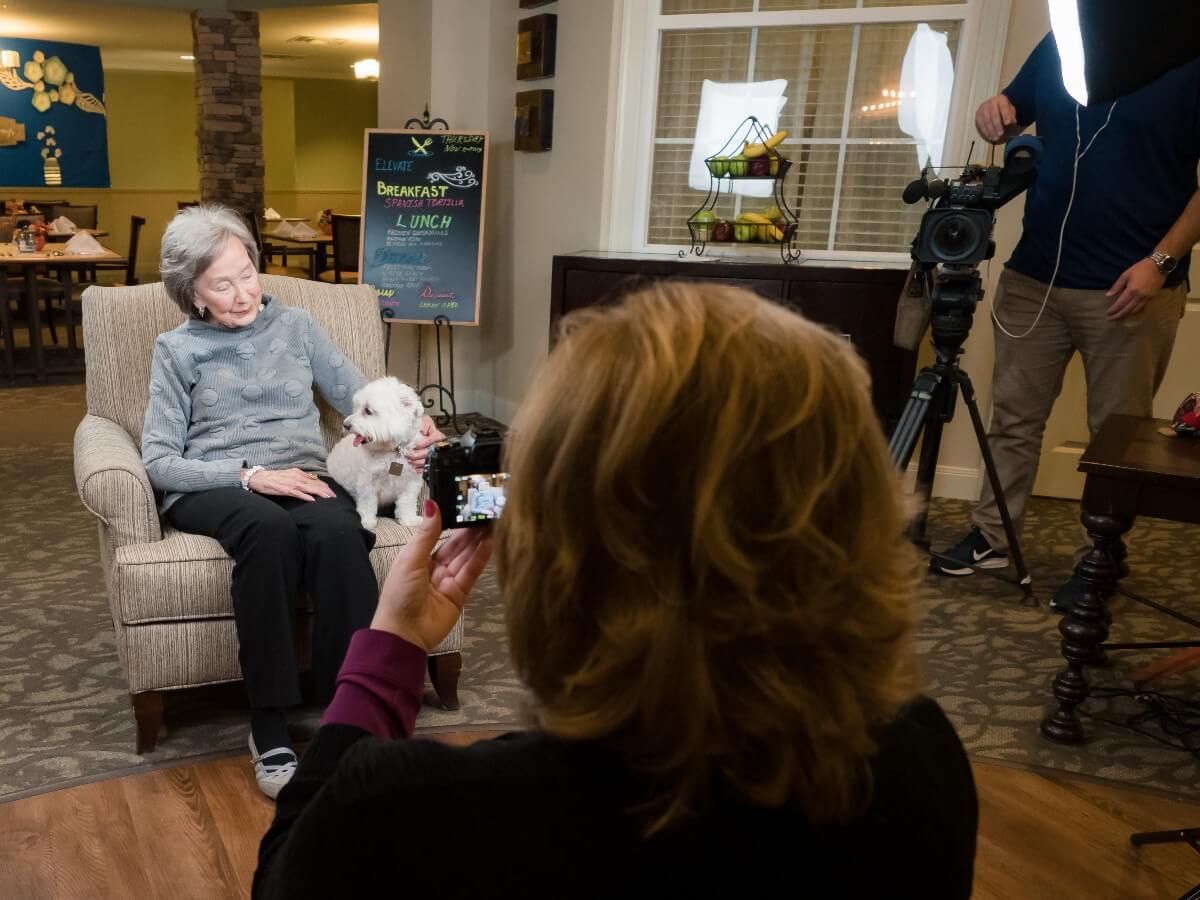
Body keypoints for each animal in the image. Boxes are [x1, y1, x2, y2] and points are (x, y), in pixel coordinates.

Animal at [328, 379, 427, 532]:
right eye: (356, 408)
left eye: (368, 411)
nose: (346, 425)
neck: (392, 450)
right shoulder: (367, 483)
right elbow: (367, 504)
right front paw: (367, 522)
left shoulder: (410, 482)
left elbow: (407, 503)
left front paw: (408, 520)